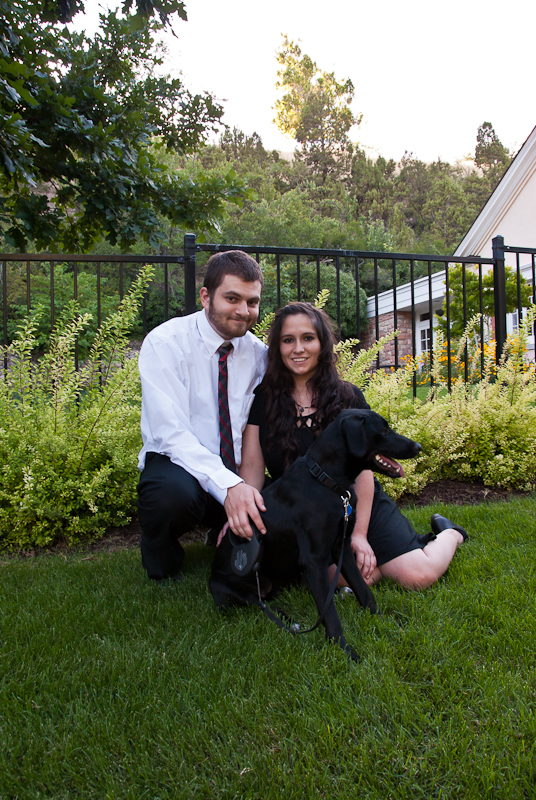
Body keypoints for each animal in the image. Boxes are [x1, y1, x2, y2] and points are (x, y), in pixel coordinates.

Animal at [210, 408, 421, 661]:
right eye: (383, 430)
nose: (418, 446)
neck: (326, 481)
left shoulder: (343, 548)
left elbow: (364, 590)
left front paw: (382, 621)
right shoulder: (313, 561)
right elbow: (329, 612)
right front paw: (346, 651)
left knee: (267, 601)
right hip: (227, 591)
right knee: (257, 603)